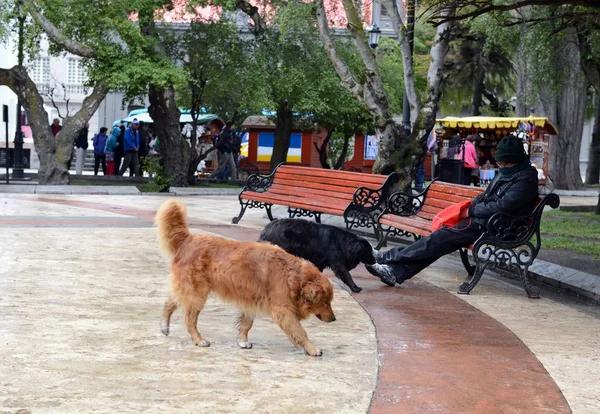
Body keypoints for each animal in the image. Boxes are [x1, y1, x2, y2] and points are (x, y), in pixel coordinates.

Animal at [156, 201, 338, 356]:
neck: (293, 276)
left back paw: (164, 326)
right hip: (197, 294)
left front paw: (242, 341)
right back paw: (198, 340)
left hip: (190, 291)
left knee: (170, 302)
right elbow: (300, 332)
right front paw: (312, 349)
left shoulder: (252, 300)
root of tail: (188, 239)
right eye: (325, 302)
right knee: (189, 320)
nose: (334, 319)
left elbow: (246, 323)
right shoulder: (283, 311)